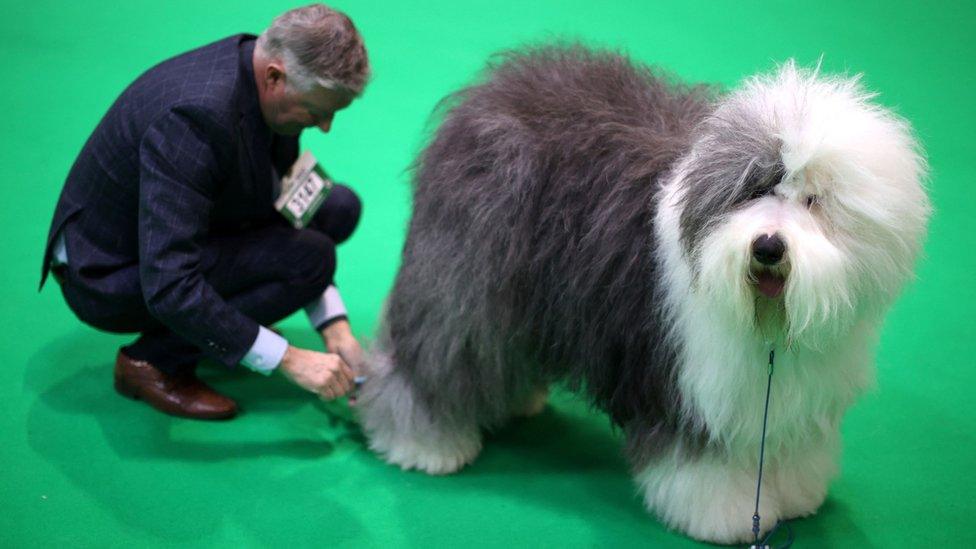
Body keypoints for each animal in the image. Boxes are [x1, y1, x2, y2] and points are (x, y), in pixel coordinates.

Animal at [358, 45, 932, 540]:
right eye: (755, 190)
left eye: (813, 200)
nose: (768, 246)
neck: (768, 329)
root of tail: (489, 92)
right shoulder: (691, 388)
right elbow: (705, 464)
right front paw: (723, 516)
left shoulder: (799, 397)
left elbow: (789, 453)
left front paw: (795, 496)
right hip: (467, 281)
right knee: (438, 355)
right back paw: (423, 442)